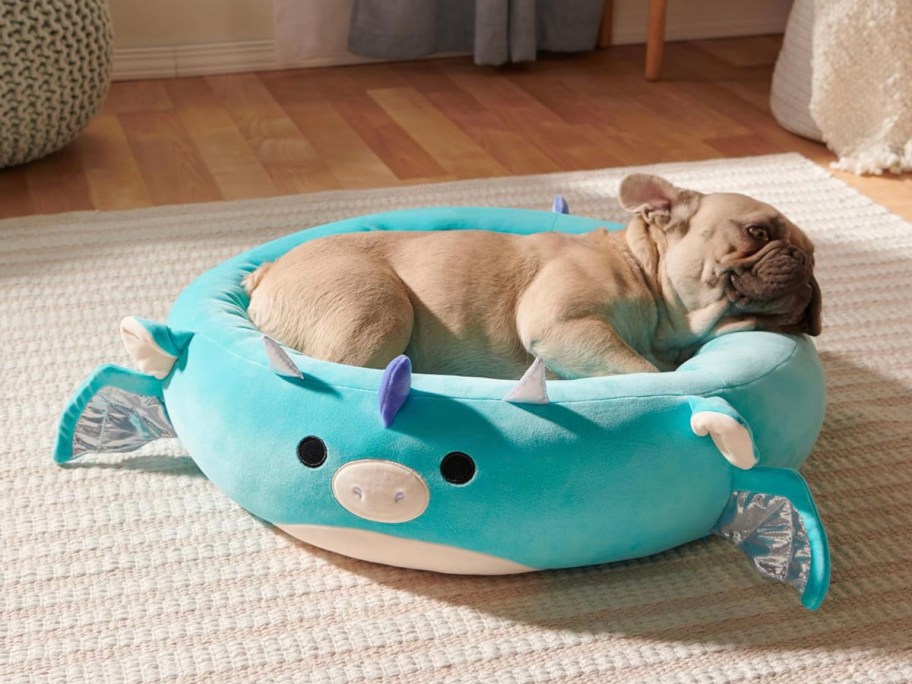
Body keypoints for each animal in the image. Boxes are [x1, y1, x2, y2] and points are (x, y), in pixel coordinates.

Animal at [242, 174, 820, 380]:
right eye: (757, 232)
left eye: (815, 255)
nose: (804, 261)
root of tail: (265, 273)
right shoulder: (564, 326)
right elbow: (645, 374)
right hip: (378, 308)